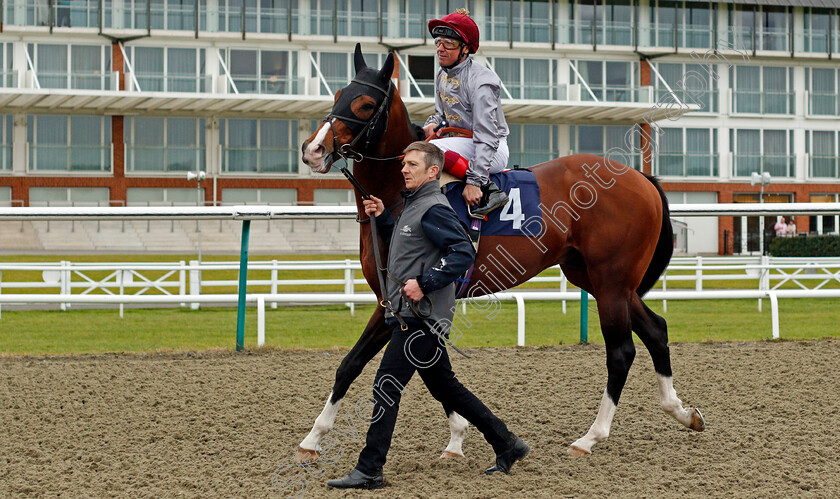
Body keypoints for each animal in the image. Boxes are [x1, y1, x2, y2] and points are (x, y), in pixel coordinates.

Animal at [296, 45, 704, 462]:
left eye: (364, 104)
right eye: (336, 95)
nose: (313, 149)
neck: (402, 194)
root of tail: (642, 179)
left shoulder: (398, 298)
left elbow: (357, 363)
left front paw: (314, 438)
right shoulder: (411, 301)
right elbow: (395, 365)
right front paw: (456, 436)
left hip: (611, 281)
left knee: (621, 351)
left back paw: (591, 436)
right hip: (600, 280)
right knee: (656, 329)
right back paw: (682, 412)